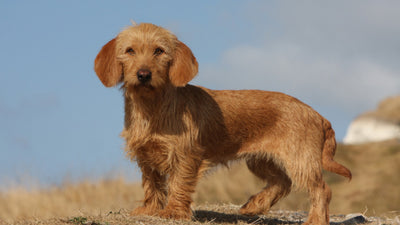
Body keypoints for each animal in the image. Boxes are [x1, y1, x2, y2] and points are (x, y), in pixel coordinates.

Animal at [93, 22, 350, 225]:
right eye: (130, 50)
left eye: (159, 51)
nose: (143, 74)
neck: (152, 107)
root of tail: (318, 115)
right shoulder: (146, 155)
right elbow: (152, 184)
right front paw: (151, 209)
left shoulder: (185, 156)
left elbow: (178, 184)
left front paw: (174, 211)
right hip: (261, 161)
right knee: (282, 182)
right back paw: (254, 205)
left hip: (300, 160)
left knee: (321, 189)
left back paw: (315, 220)